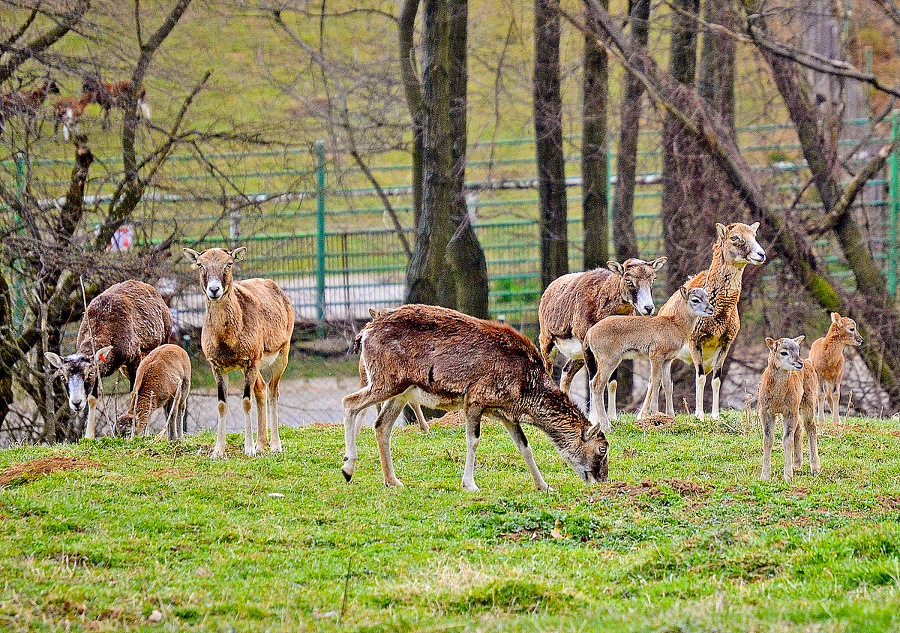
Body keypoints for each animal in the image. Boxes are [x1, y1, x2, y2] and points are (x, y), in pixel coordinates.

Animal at [45, 282, 173, 440]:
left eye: (89, 373)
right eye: (63, 376)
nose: (76, 403)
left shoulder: (134, 359)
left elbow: (135, 393)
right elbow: (92, 399)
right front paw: (89, 436)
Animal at [181, 244, 294, 456]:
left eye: (229, 263)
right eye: (200, 264)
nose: (214, 289)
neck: (227, 342)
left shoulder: (250, 360)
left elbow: (245, 401)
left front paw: (249, 449)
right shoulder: (217, 366)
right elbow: (221, 403)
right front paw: (218, 451)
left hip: (281, 354)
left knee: (273, 390)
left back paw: (275, 446)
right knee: (261, 389)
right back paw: (261, 443)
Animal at [342, 304, 608, 492]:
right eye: (602, 449)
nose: (602, 479)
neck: (526, 390)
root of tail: (364, 333)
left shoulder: (506, 414)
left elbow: (525, 447)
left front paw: (544, 486)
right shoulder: (475, 398)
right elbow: (473, 440)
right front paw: (470, 484)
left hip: (400, 390)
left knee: (381, 425)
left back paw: (393, 481)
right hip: (385, 380)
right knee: (349, 402)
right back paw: (347, 468)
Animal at [588, 286, 712, 430]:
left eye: (707, 297)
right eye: (695, 299)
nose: (711, 309)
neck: (675, 325)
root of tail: (590, 333)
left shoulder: (668, 360)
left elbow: (667, 384)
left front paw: (671, 415)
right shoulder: (656, 356)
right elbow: (656, 381)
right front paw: (655, 413)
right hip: (608, 360)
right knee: (596, 384)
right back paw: (606, 426)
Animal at [756, 336, 820, 478]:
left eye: (797, 350)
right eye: (783, 352)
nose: (799, 363)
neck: (778, 399)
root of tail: (809, 362)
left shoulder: (790, 411)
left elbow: (787, 439)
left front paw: (788, 476)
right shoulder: (765, 410)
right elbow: (768, 439)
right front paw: (765, 476)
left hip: (809, 400)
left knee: (810, 427)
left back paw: (815, 468)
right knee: (799, 428)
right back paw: (796, 463)